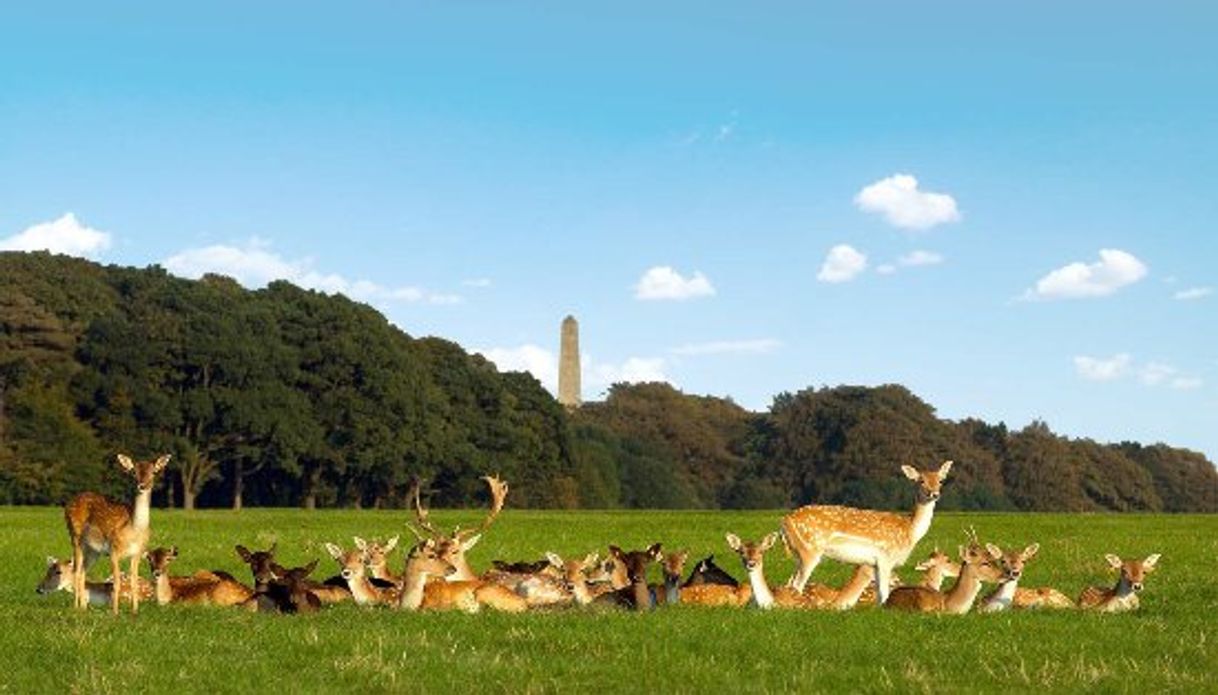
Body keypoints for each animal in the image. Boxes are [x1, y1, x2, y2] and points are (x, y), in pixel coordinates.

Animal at [61, 457, 170, 613]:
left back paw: (83, 607)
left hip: (94, 551)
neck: (134, 531)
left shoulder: (138, 553)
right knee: (76, 570)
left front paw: (134, 612)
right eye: (133, 472)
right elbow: (116, 582)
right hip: (75, 536)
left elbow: (134, 582)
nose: (142, 486)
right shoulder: (114, 550)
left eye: (154, 472)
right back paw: (76, 607)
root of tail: (69, 502)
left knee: (82, 572)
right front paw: (115, 612)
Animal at [779, 460, 950, 606]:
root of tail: (785, 521)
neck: (909, 531)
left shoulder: (874, 563)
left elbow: (880, 596)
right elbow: (884, 593)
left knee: (790, 582)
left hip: (798, 554)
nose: (934, 494)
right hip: (810, 551)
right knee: (797, 584)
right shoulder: (885, 558)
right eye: (921, 481)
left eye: (941, 481)